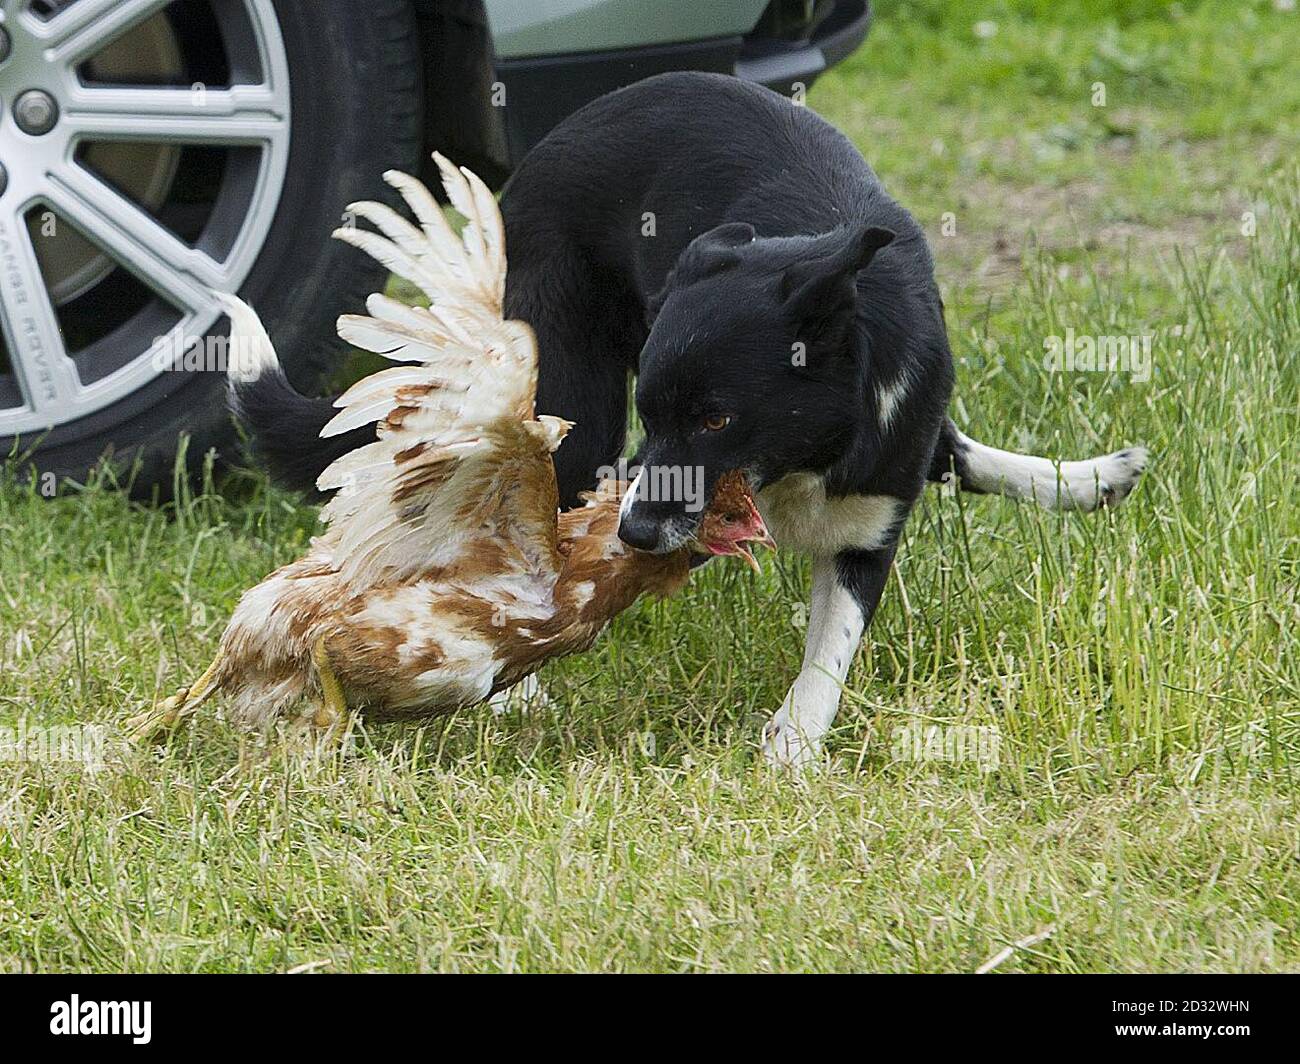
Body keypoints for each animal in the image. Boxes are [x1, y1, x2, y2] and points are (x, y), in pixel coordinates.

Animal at [236, 72, 1149, 764]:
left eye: (716, 420)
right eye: (661, 417)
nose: (636, 534)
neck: (803, 456)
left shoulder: (872, 505)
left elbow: (835, 641)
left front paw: (795, 738)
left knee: (951, 450)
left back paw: (1081, 480)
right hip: (576, 400)